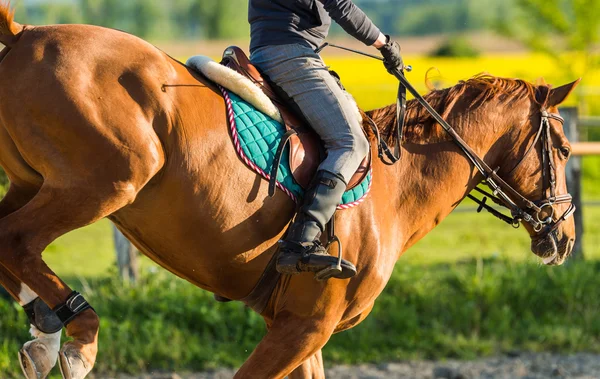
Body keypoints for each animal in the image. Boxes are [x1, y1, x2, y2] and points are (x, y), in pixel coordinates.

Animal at [0, 5, 580, 379]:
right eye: (565, 150)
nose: (567, 237)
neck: (397, 185)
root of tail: (25, 33)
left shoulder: (302, 330)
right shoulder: (305, 325)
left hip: (34, 184)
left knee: (11, 244)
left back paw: (45, 329)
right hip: (107, 183)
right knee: (17, 239)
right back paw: (76, 335)